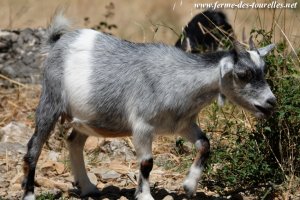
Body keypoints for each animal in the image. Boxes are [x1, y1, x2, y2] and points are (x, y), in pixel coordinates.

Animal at [21, 14, 276, 200]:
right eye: (242, 74)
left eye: (263, 69)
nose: (271, 102)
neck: (177, 79)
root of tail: (58, 43)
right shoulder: (142, 126)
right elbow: (147, 163)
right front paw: (145, 196)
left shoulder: (183, 124)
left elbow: (205, 144)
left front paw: (189, 186)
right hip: (50, 102)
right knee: (34, 148)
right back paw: (30, 194)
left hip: (86, 117)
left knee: (74, 141)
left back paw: (88, 187)